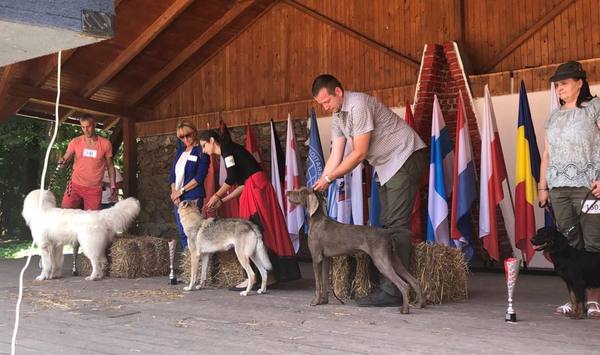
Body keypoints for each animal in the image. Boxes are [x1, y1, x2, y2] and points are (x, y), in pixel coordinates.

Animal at [284, 188, 422, 312]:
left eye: (301, 192)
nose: (287, 192)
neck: (317, 220)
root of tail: (387, 233)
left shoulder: (316, 258)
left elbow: (318, 284)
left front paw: (315, 302)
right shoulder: (325, 259)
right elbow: (324, 282)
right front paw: (323, 301)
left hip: (381, 261)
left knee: (404, 285)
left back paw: (405, 309)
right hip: (394, 259)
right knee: (414, 281)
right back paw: (419, 304)